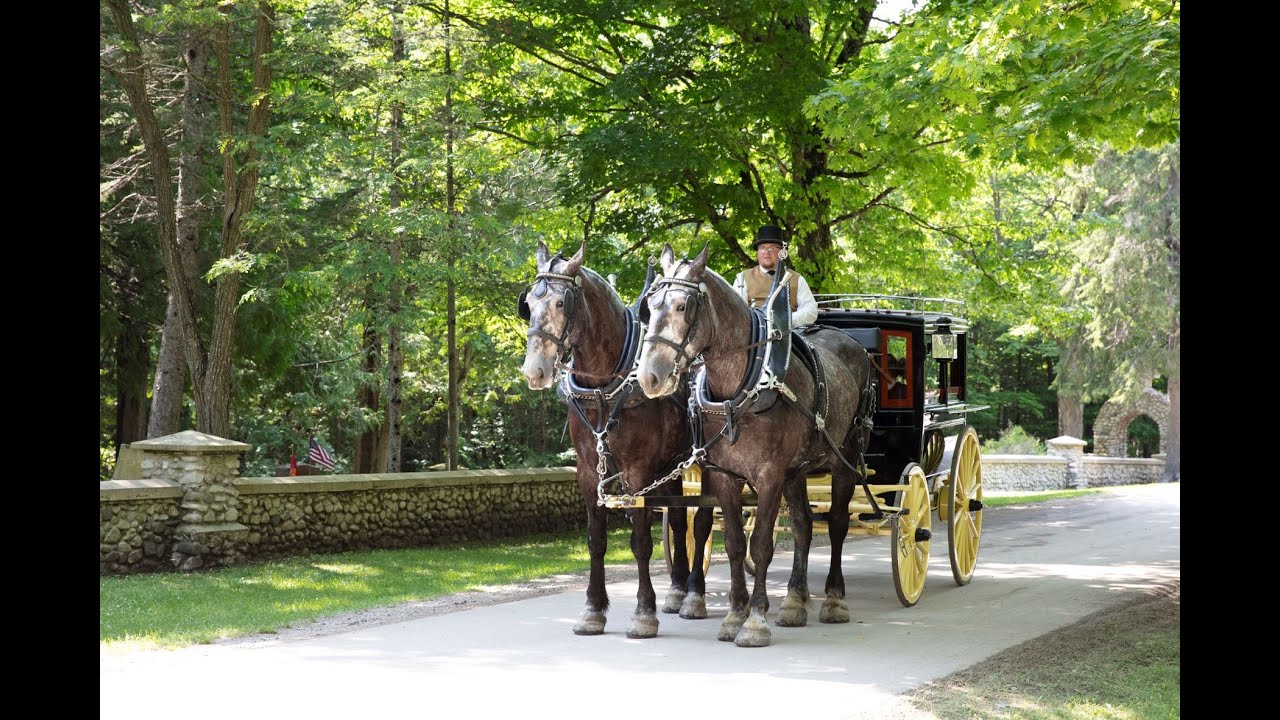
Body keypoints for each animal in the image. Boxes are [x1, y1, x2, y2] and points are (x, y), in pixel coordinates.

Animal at [519, 241, 715, 638]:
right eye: (528, 303)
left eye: (561, 303)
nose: (535, 371)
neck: (606, 389)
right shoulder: (588, 470)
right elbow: (596, 540)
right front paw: (593, 609)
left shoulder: (637, 472)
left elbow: (640, 541)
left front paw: (643, 612)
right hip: (672, 466)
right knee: (677, 521)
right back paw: (676, 589)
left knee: (700, 523)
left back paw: (694, 595)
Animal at [635, 243, 873, 647]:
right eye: (650, 307)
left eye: (683, 306)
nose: (650, 376)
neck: (743, 387)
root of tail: (855, 344)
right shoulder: (726, 476)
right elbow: (734, 544)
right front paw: (735, 615)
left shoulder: (769, 475)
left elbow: (761, 543)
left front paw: (756, 620)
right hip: (797, 471)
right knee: (803, 523)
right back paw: (794, 600)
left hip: (845, 458)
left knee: (838, 524)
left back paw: (833, 599)